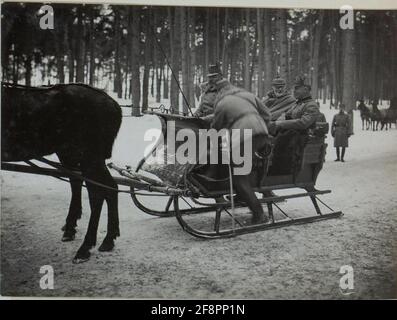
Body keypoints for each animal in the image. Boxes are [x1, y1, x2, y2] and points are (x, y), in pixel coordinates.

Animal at [1, 82, 122, 262]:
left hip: (89, 157)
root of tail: (112, 103)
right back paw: (107, 238)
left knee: (97, 194)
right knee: (107, 187)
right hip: (73, 154)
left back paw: (85, 247)